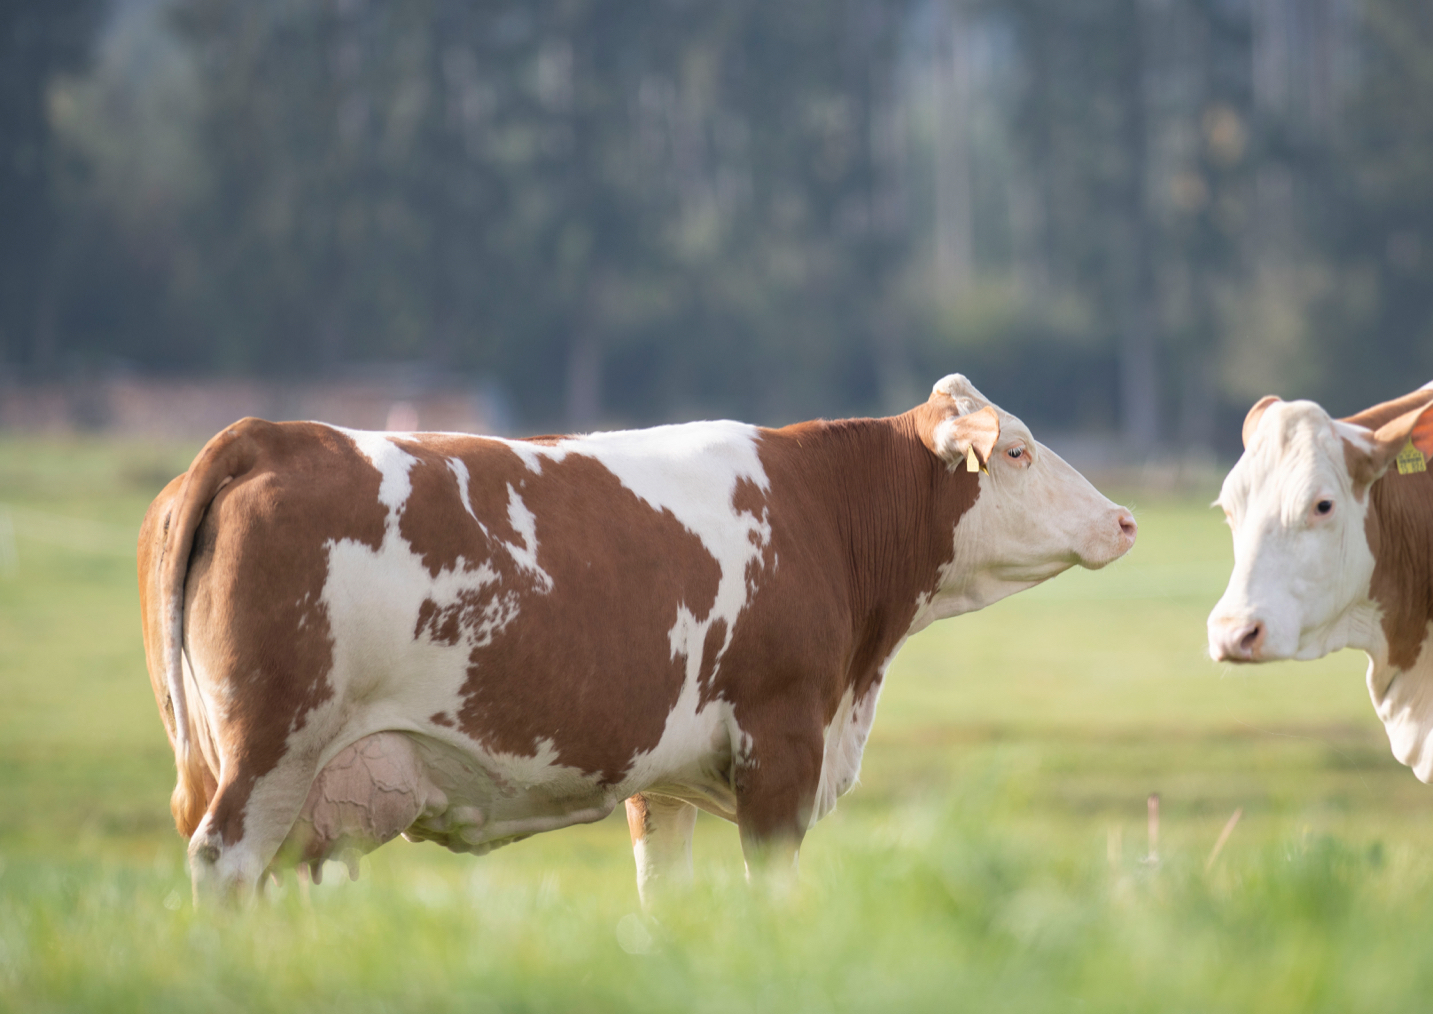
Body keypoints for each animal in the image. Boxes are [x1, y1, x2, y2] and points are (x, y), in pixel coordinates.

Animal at [139, 372, 1134, 905]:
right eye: (1016, 451)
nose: (1123, 520)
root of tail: (268, 435)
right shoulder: (780, 748)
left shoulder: (669, 782)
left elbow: (666, 900)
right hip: (271, 753)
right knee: (225, 866)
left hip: (236, 770)